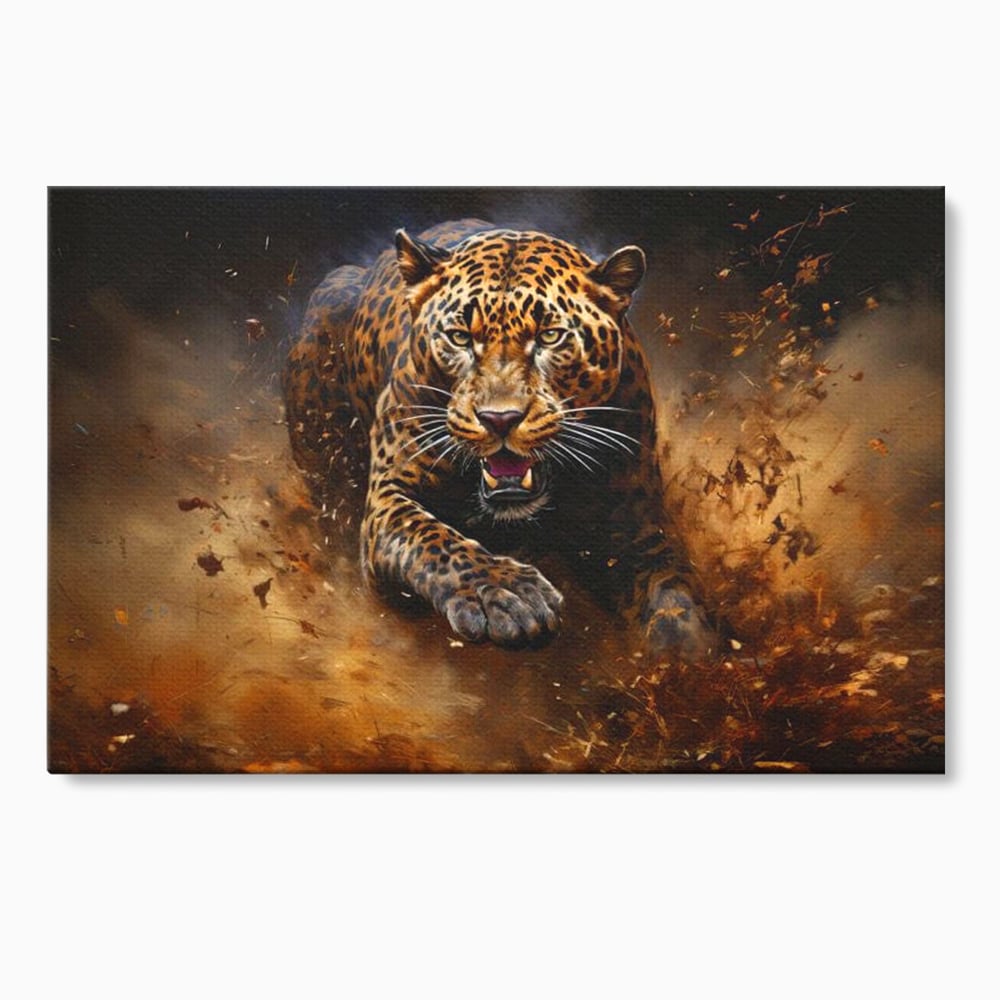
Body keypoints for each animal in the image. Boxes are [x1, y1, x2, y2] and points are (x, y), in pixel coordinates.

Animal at [282, 218, 716, 659]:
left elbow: (673, 595)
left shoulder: (636, 524)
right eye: (459, 337)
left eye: (550, 336)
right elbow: (433, 539)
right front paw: (509, 594)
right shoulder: (389, 495)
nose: (500, 419)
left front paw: (690, 654)